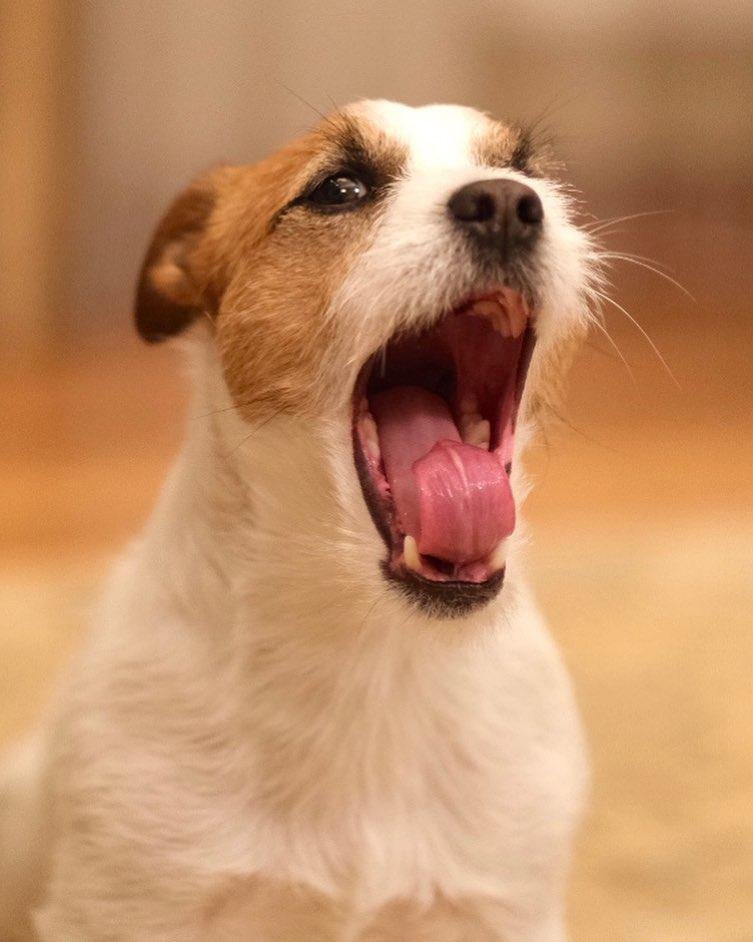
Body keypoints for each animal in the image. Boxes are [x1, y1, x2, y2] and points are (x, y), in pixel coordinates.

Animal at [0, 99, 600, 940]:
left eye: (525, 170)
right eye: (338, 188)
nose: (509, 204)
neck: (368, 647)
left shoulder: (503, 904)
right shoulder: (126, 903)